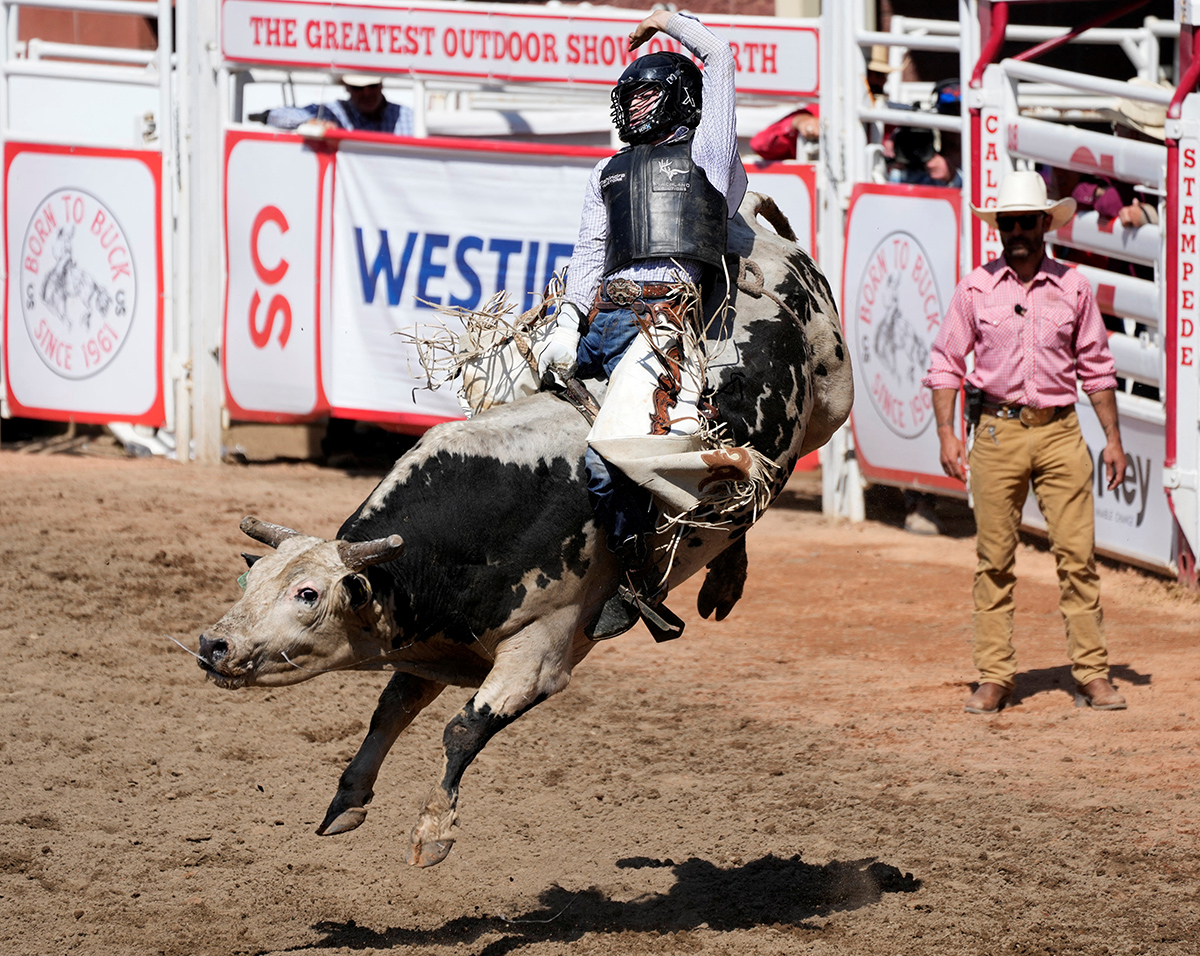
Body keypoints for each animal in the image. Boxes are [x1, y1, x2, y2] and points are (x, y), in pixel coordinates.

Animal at [194, 191, 854, 863]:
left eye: (308, 595)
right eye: (252, 582)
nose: (214, 644)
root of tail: (760, 232)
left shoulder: (542, 654)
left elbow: (463, 729)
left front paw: (432, 832)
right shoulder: (439, 641)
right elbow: (391, 709)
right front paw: (347, 800)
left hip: (832, 402)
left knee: (766, 476)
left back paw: (725, 574)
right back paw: (724, 577)